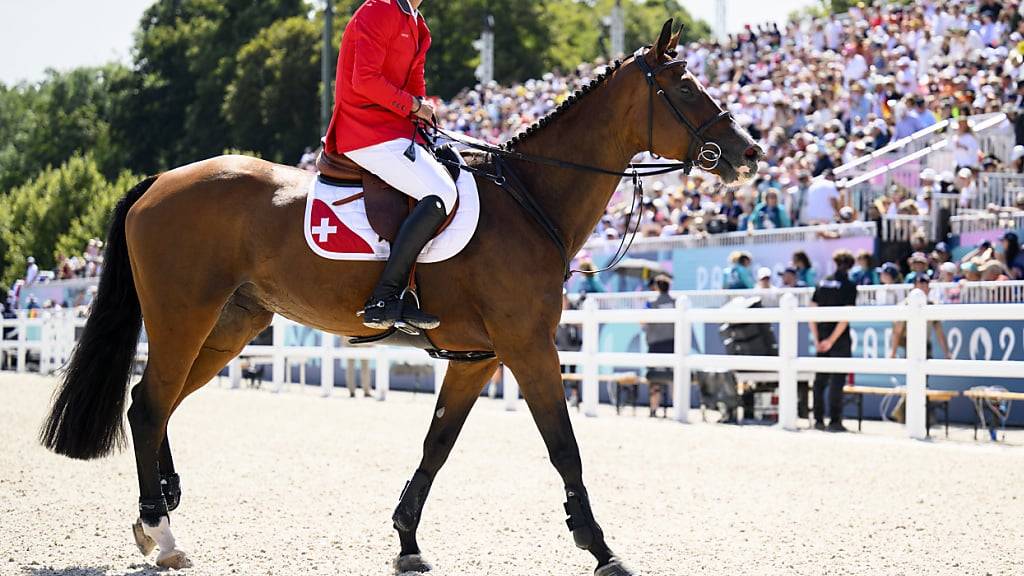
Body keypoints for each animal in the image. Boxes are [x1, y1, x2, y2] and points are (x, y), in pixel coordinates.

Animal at [39, 19, 761, 573]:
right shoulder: (529, 348)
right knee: (148, 405)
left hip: (229, 328)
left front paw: (408, 539)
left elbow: (436, 446)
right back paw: (163, 534)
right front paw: (600, 547)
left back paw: (157, 513)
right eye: (686, 87)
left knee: (157, 405)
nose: (750, 152)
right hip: (182, 316)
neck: (529, 201)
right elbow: (564, 446)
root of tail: (158, 181)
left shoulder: (480, 359)